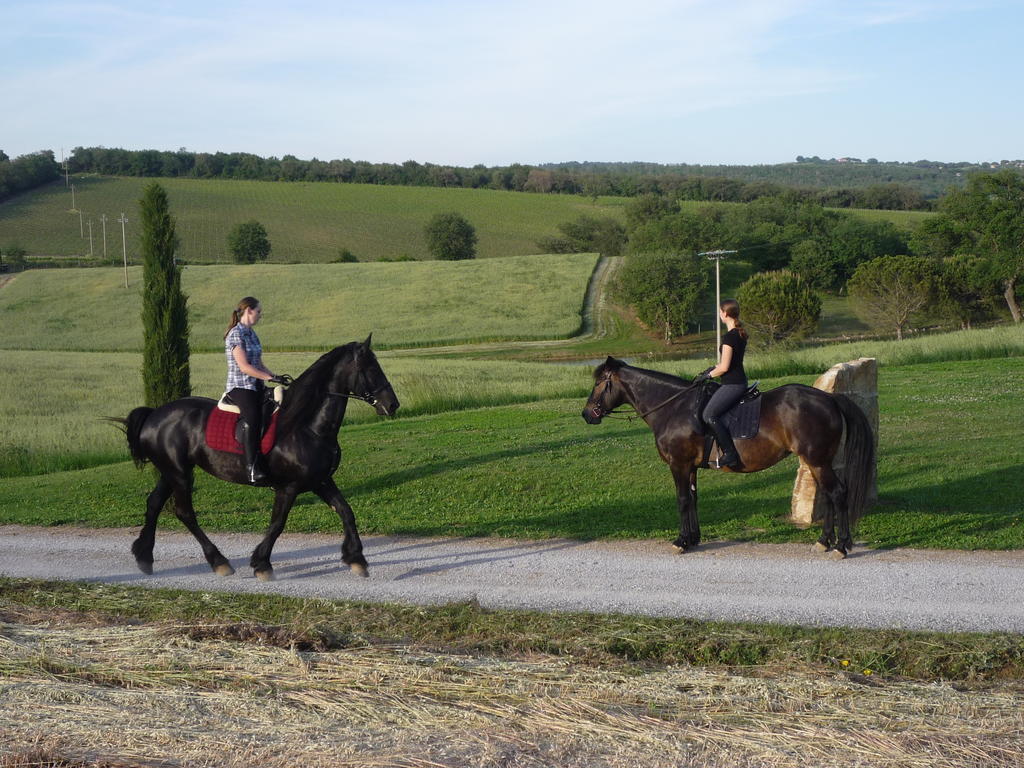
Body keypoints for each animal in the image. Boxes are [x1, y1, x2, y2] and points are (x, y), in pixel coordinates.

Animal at [114, 339, 397, 581]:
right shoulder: (289, 486)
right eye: (370, 368)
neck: (307, 426)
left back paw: (144, 558)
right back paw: (219, 562)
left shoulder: (321, 480)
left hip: (171, 472)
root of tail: (154, 414)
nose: (393, 405)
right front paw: (262, 565)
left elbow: (346, 512)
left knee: (154, 503)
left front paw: (357, 559)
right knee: (184, 512)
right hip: (180, 474)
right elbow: (277, 524)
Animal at [585, 354, 872, 561]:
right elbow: (693, 499)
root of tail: (829, 398)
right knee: (829, 495)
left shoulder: (679, 464)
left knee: (837, 494)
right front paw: (693, 538)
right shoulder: (690, 467)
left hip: (817, 461)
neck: (673, 408)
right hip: (817, 462)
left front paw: (681, 542)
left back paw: (840, 546)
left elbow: (682, 500)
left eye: (599, 383)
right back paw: (824, 542)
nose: (586, 414)